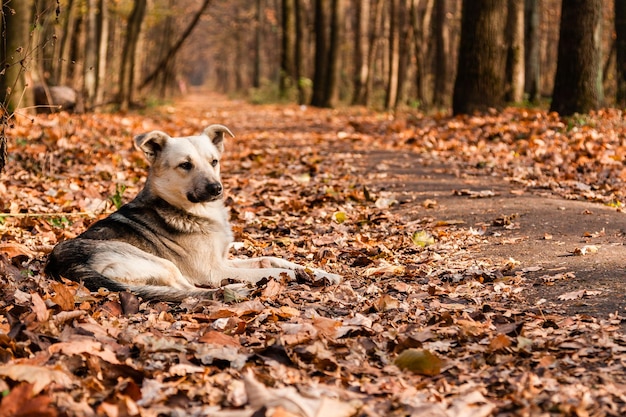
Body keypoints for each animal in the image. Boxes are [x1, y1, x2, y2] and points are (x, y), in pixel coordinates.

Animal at [46, 125, 342, 300]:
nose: (216, 188)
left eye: (214, 162)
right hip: (161, 263)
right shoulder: (212, 270)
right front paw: (299, 277)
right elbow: (271, 271)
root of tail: (63, 264)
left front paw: (319, 272)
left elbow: (271, 260)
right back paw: (235, 289)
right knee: (189, 291)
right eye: (185, 165)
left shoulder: (223, 259)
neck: (198, 211)